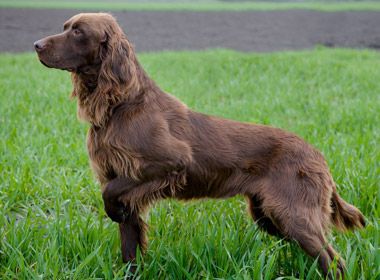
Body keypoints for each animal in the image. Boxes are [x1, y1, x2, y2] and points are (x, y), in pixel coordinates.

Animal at [35, 12, 366, 278]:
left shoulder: (169, 163)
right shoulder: (122, 182)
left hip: (292, 214)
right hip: (269, 216)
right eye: (65, 27)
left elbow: (111, 193)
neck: (121, 105)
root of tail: (318, 155)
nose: (36, 45)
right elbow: (129, 249)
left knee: (334, 260)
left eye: (78, 32)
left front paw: (113, 210)